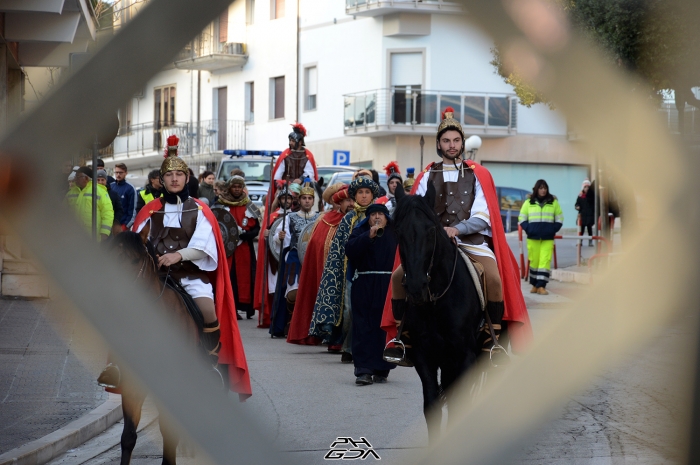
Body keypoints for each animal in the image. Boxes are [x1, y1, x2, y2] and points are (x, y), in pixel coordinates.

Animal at [392, 183, 484, 440]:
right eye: (399, 232)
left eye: (431, 231)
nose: (416, 288)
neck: (436, 303)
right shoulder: (425, 355)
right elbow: (432, 406)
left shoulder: (464, 356)